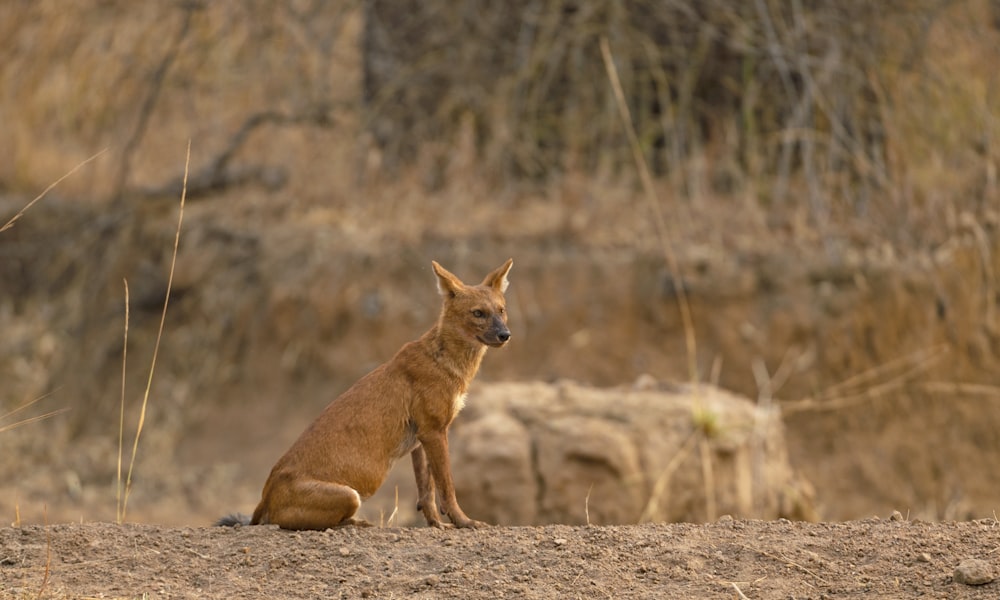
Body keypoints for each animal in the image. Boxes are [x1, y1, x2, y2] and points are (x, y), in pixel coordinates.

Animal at [220, 258, 516, 528]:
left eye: (501, 310)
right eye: (478, 313)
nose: (505, 335)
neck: (445, 360)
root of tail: (264, 498)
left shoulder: (420, 438)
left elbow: (426, 491)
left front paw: (436, 524)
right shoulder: (434, 431)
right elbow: (446, 486)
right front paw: (464, 522)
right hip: (349, 495)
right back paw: (358, 522)